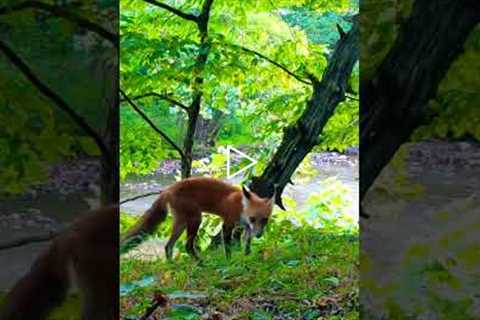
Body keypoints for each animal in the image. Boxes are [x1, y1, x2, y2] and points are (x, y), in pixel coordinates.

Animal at [122, 178, 276, 260]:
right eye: (253, 218)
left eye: (265, 220)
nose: (259, 235)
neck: (241, 206)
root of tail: (168, 189)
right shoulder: (228, 223)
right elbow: (227, 246)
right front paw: (229, 261)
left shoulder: (245, 226)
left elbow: (247, 242)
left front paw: (247, 255)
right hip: (196, 219)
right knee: (187, 246)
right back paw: (200, 263)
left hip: (181, 222)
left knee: (168, 246)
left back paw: (172, 265)